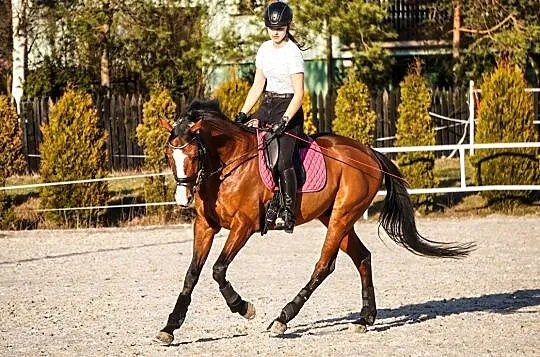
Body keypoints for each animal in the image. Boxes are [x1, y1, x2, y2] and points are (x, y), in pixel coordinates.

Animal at [154, 98, 474, 344]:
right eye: (170, 154)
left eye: (194, 154)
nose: (182, 198)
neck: (228, 165)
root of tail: (368, 152)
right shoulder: (205, 226)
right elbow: (192, 275)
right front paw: (169, 327)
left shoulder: (244, 226)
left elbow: (218, 270)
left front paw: (243, 308)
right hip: (333, 216)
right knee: (362, 257)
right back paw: (365, 318)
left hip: (341, 217)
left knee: (324, 266)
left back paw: (283, 318)